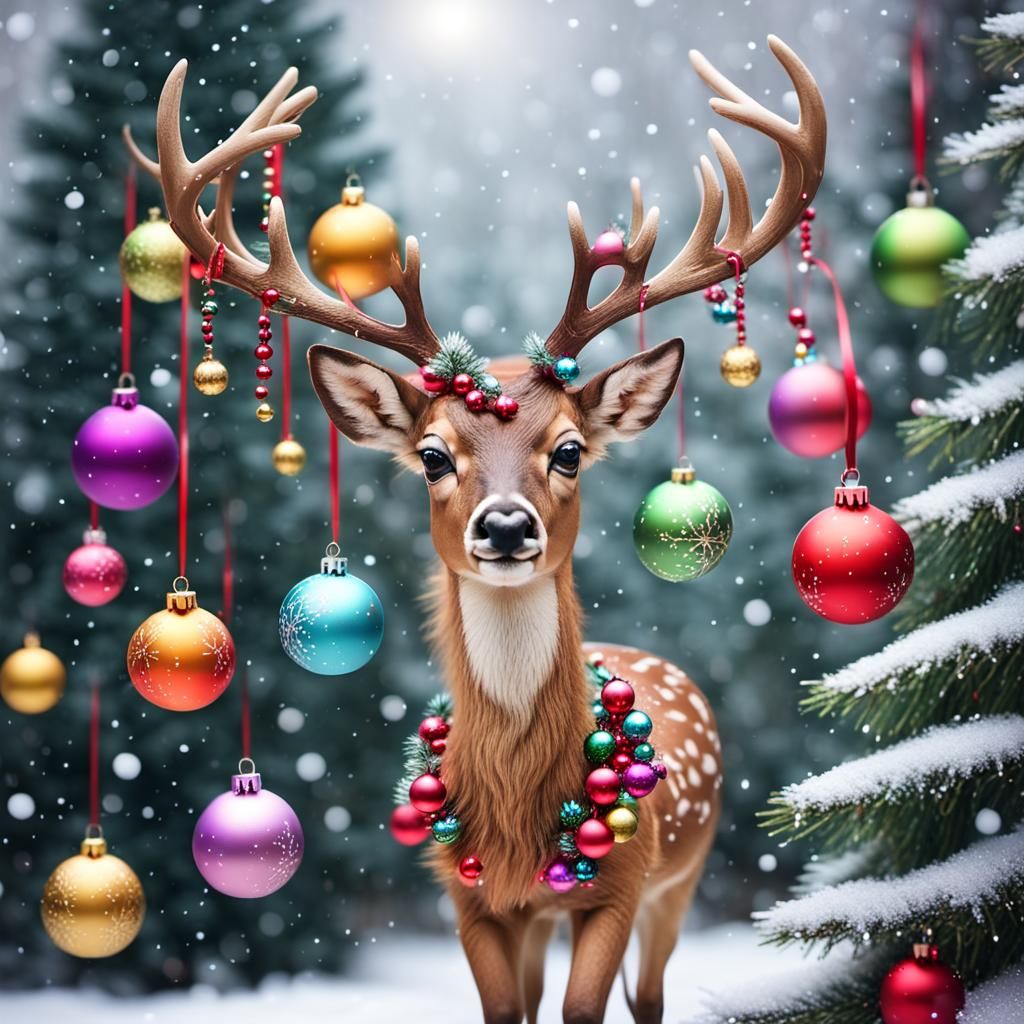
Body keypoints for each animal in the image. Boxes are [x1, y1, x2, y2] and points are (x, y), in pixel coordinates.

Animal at [126, 35, 825, 1024]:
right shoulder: (471, 900)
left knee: (651, 994)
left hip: (682, 875)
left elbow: (584, 1009)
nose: (503, 526)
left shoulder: (622, 886)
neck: (526, 813)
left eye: (569, 449)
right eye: (431, 454)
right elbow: (507, 1010)